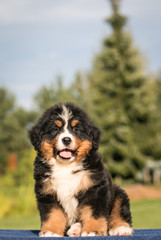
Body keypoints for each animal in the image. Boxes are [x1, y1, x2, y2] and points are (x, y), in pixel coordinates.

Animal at [28, 102, 133, 236]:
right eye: (55, 129)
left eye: (76, 129)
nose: (66, 139)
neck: (66, 166)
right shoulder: (47, 192)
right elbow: (52, 214)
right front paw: (50, 231)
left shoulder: (95, 189)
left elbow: (93, 213)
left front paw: (93, 230)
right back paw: (76, 229)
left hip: (118, 193)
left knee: (119, 210)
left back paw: (121, 228)